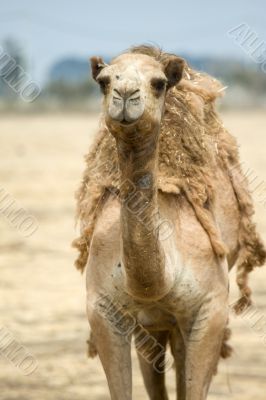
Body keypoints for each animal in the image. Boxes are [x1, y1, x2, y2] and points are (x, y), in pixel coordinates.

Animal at [72, 45, 266, 398]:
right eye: (104, 82)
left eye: (159, 83)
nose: (125, 93)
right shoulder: (103, 310)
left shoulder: (211, 309)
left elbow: (193, 385)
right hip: (149, 321)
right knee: (153, 362)